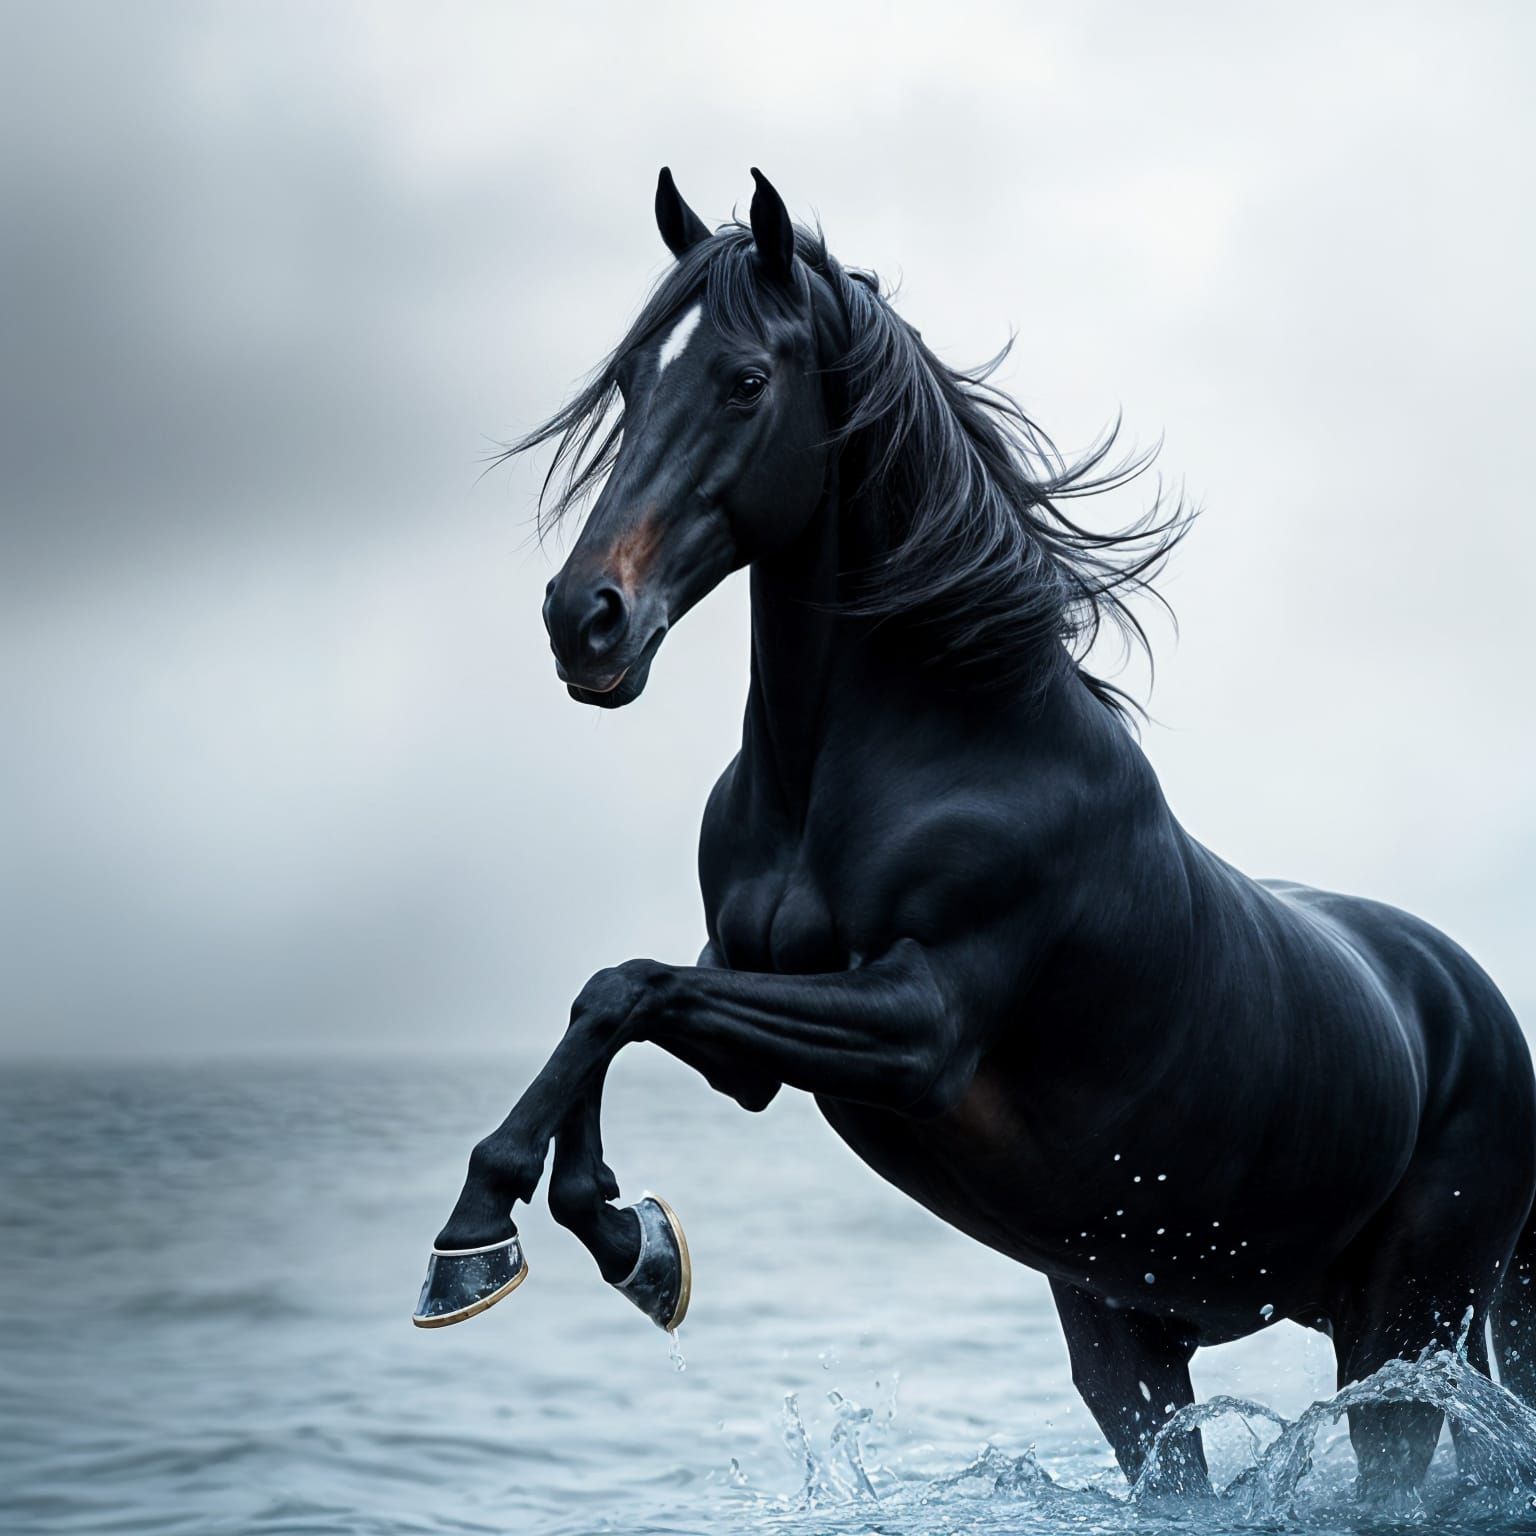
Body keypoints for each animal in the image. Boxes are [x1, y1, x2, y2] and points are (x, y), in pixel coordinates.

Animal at [413, 167, 1536, 1499]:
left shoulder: (921, 1024)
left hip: (1404, 1325)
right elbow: (619, 1002)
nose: (585, 619)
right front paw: (627, 1245)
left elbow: (626, 990)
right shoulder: (751, 1042)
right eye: (634, 381)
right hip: (1128, 1333)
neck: (932, 747)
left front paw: (480, 1247)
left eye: (744, 381)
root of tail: (1482, 1013)